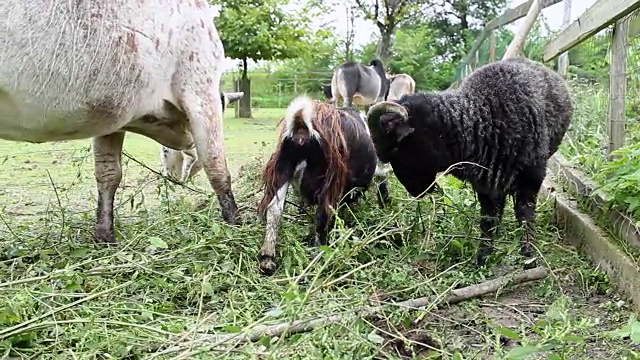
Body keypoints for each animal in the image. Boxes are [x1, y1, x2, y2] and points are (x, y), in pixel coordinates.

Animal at [0, 0, 240, 243]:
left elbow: (108, 174)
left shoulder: (111, 114)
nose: (172, 178)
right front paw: (236, 228)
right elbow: (216, 166)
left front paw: (105, 237)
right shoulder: (199, 87)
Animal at [256, 95, 390, 276]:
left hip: (284, 167)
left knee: (274, 210)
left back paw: (267, 258)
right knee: (322, 214)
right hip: (330, 180)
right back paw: (319, 258)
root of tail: (301, 125)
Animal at [364, 57, 576, 268]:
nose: (416, 192)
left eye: (395, 147)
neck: (483, 120)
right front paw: (483, 257)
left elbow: (525, 215)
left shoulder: (531, 179)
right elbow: (489, 220)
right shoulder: (485, 186)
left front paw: (529, 256)